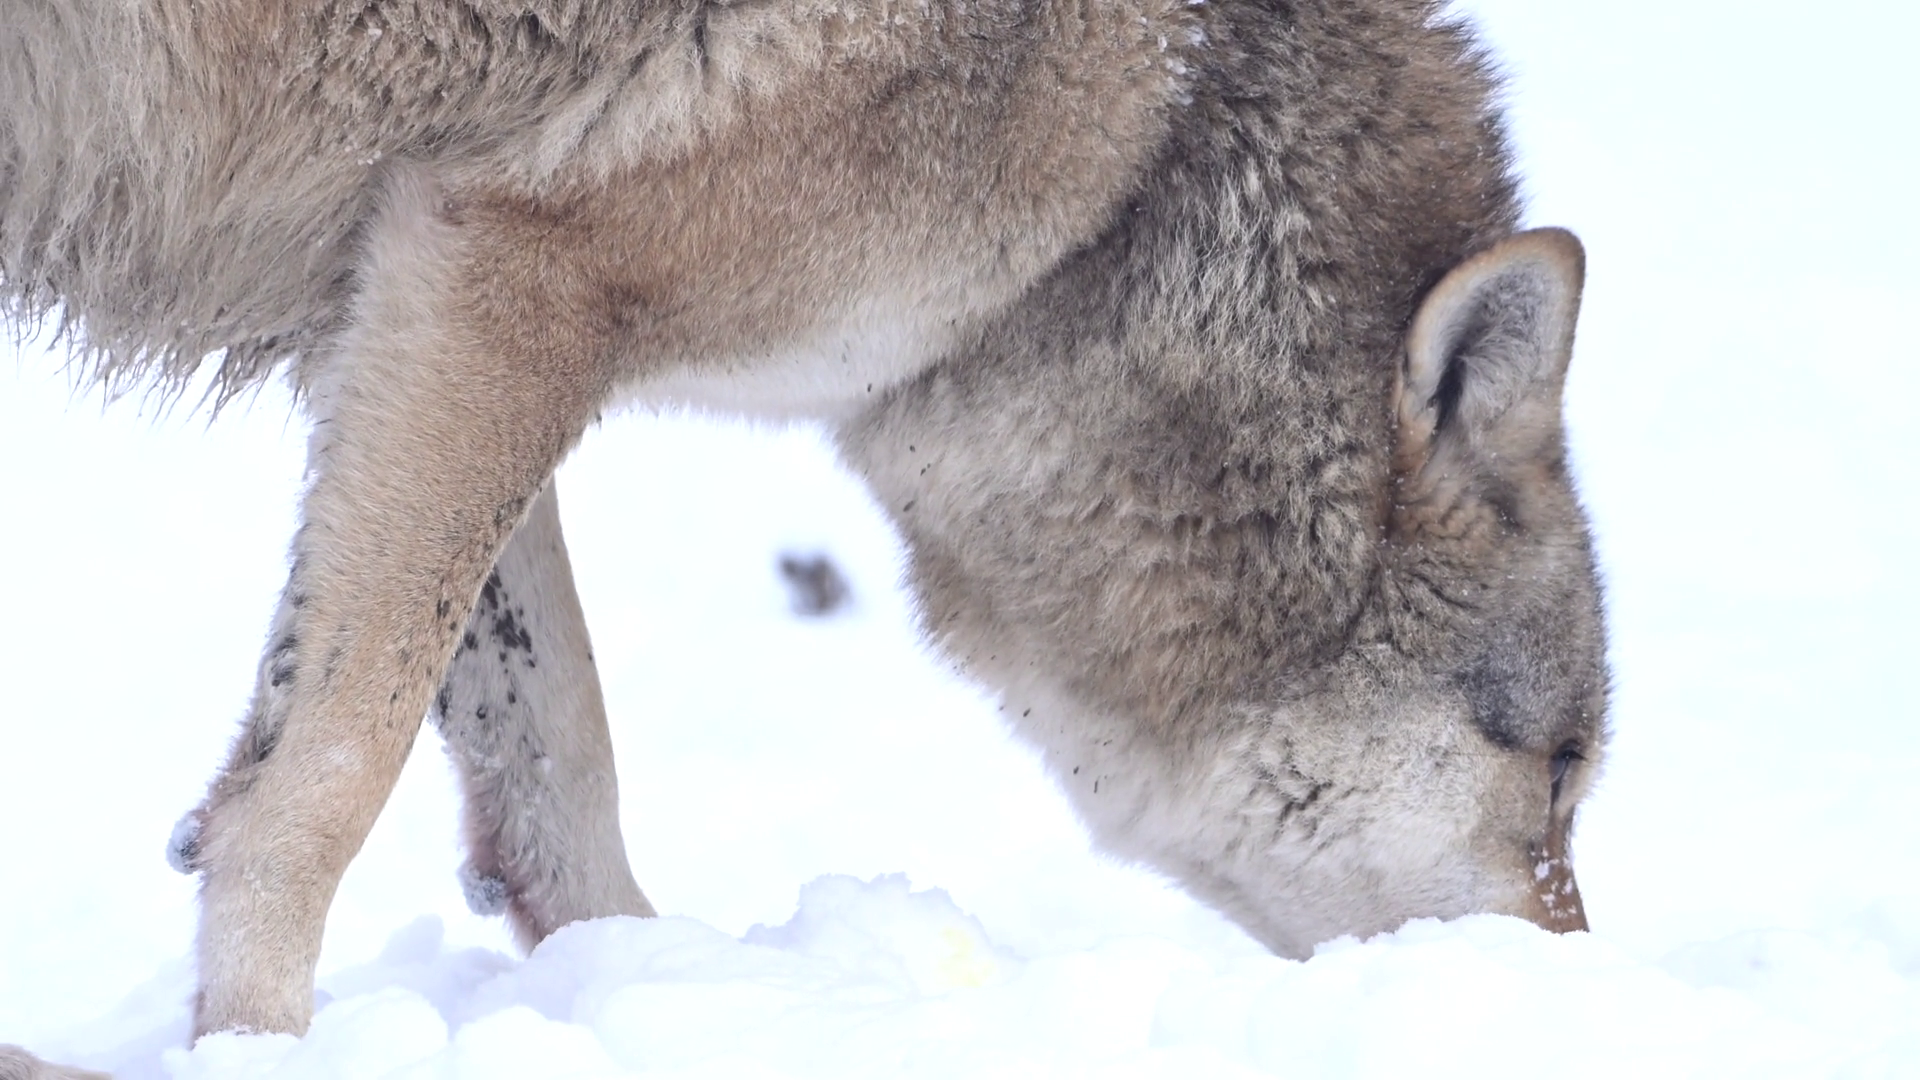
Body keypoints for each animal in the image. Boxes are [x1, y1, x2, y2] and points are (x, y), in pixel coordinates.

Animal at [0, 0, 1607, 1061]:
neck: (1146, 163)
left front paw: (630, 986)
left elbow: (547, 751)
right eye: (1559, 777)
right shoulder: (505, 280)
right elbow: (318, 788)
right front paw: (254, 1051)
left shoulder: (402, 301)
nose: (1574, 991)